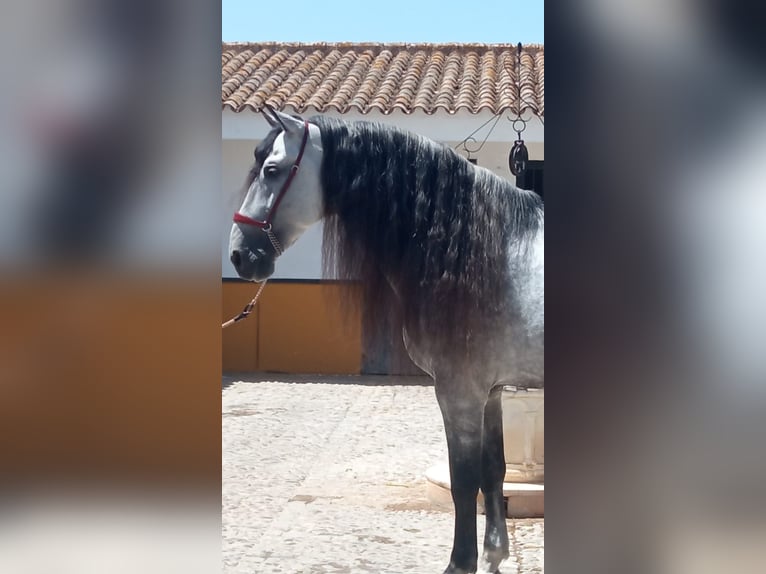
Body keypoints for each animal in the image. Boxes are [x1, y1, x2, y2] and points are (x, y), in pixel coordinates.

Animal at [228, 107, 544, 574]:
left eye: (271, 169)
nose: (240, 255)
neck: (478, 250)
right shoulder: (491, 391)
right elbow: (494, 471)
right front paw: (493, 555)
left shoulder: (460, 392)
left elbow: (463, 480)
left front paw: (461, 563)